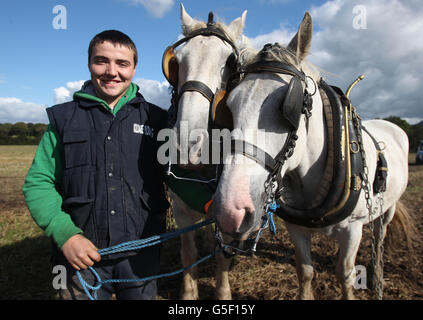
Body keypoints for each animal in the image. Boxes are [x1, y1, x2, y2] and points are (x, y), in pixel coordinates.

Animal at [163, 4, 248, 300]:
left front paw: (223, 293)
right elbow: (188, 254)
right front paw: (188, 294)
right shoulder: (180, 209)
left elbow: (222, 255)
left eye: (231, 62)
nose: (188, 145)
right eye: (176, 62)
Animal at [212, 11, 414, 298]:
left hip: (387, 208)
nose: (231, 212)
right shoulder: (297, 229)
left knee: (379, 238)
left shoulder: (353, 230)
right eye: (228, 105)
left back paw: (377, 277)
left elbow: (345, 275)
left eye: (290, 107)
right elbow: (305, 272)